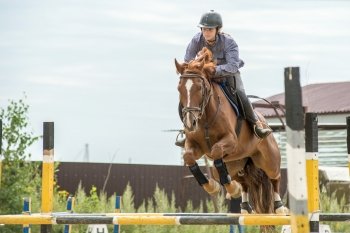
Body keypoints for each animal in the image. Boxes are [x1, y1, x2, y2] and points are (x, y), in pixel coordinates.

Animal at [174, 47, 286, 217]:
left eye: (199, 88)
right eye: (179, 88)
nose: (190, 123)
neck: (205, 118)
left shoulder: (231, 141)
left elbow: (216, 151)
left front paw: (229, 188)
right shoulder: (194, 145)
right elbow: (189, 157)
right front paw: (212, 186)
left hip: (268, 159)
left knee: (275, 177)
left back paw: (279, 207)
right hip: (236, 165)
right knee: (244, 182)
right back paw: (244, 205)